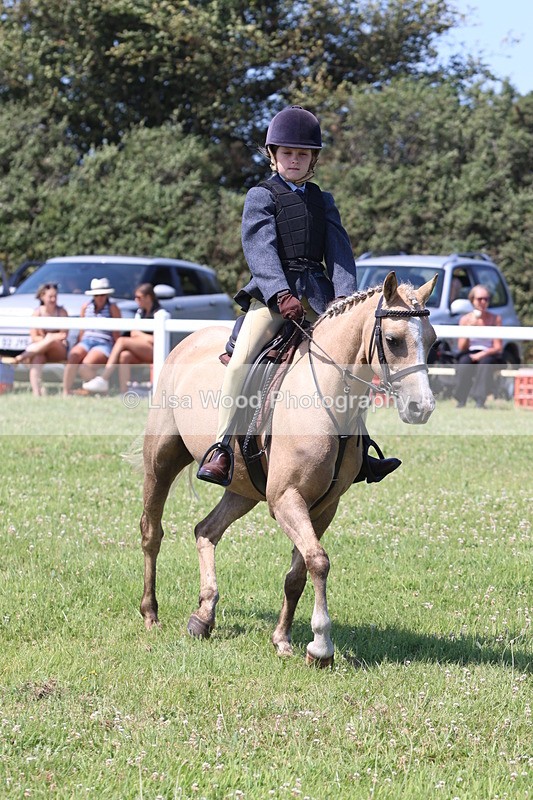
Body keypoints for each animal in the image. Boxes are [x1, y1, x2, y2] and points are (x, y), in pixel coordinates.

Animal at [140, 271, 437, 666]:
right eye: (393, 340)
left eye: (432, 340)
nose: (422, 408)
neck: (328, 400)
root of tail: (187, 341)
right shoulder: (286, 499)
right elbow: (319, 561)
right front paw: (321, 645)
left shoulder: (323, 506)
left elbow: (299, 572)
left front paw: (283, 639)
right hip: (161, 460)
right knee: (151, 532)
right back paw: (150, 613)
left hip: (243, 489)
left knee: (206, 531)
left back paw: (203, 615)